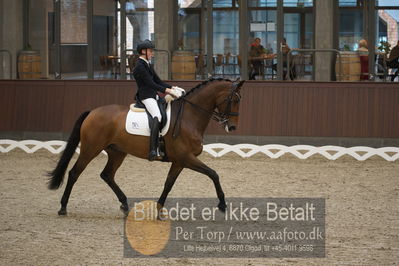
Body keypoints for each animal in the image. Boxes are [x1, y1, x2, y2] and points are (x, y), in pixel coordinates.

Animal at [48, 78, 245, 215]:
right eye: (234, 100)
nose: (232, 127)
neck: (189, 117)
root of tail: (92, 112)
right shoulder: (186, 158)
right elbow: (213, 174)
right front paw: (222, 204)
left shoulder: (179, 162)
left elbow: (168, 184)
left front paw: (159, 209)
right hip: (91, 149)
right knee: (74, 173)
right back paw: (63, 207)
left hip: (117, 152)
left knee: (107, 175)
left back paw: (125, 204)